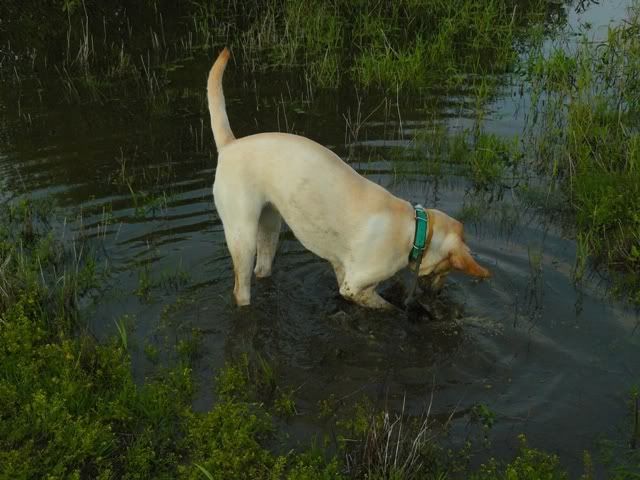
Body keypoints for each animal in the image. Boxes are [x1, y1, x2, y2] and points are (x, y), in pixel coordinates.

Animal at [208, 48, 490, 309]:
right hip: (242, 236)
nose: (438, 294)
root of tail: (229, 145)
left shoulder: (341, 269)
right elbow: (386, 308)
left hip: (269, 227)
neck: (415, 231)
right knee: (241, 289)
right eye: (446, 270)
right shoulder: (354, 285)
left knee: (262, 269)